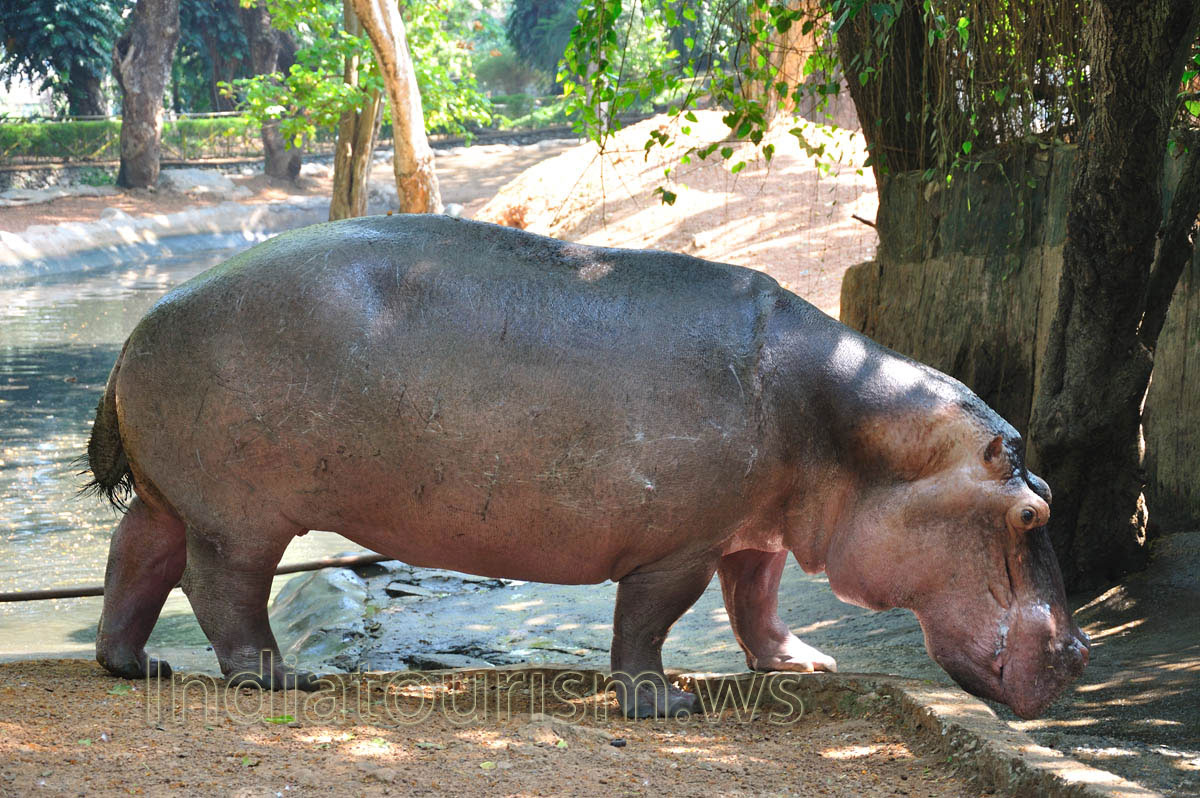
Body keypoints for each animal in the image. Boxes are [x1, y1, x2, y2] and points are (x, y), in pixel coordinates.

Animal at [86, 214, 1088, 719]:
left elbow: (757, 601)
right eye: (1031, 515)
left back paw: (136, 668)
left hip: (172, 496)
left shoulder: (751, 528)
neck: (856, 427)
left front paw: (805, 666)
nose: (1079, 653)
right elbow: (648, 622)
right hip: (243, 513)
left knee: (136, 558)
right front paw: (663, 705)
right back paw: (278, 678)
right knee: (221, 588)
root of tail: (140, 323)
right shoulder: (679, 545)